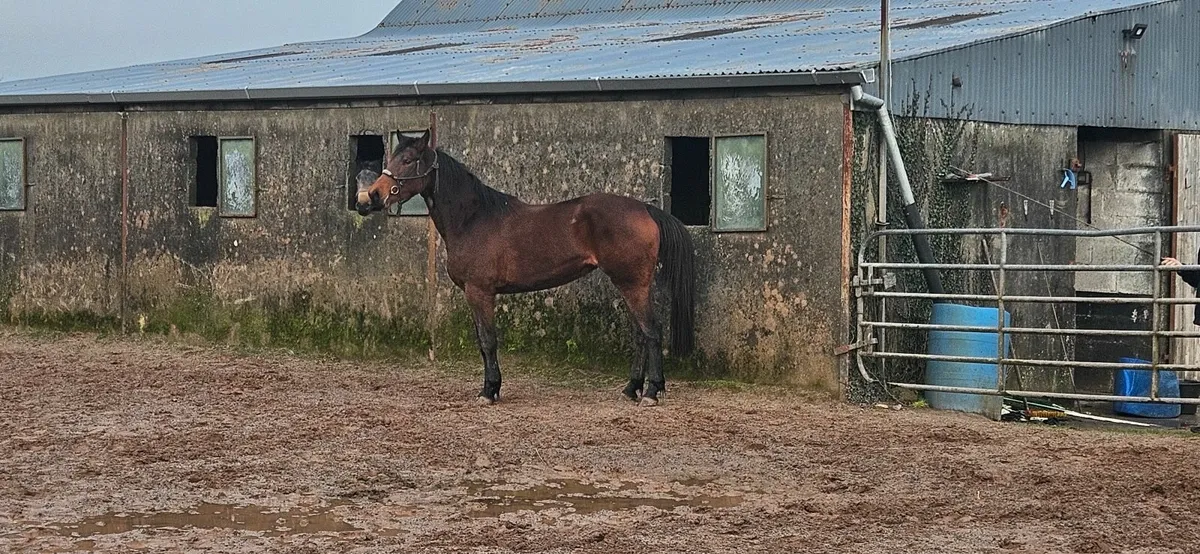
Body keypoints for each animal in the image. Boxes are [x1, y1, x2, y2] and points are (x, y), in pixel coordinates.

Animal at [356, 130, 695, 407]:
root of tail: (645, 209)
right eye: (391, 157)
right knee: (640, 335)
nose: (371, 196)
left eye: (408, 160)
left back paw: (651, 391)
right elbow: (484, 341)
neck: (474, 219)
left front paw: (489, 391)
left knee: (651, 331)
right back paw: (631, 388)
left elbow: (488, 340)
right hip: (628, 284)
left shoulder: (480, 292)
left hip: (632, 283)